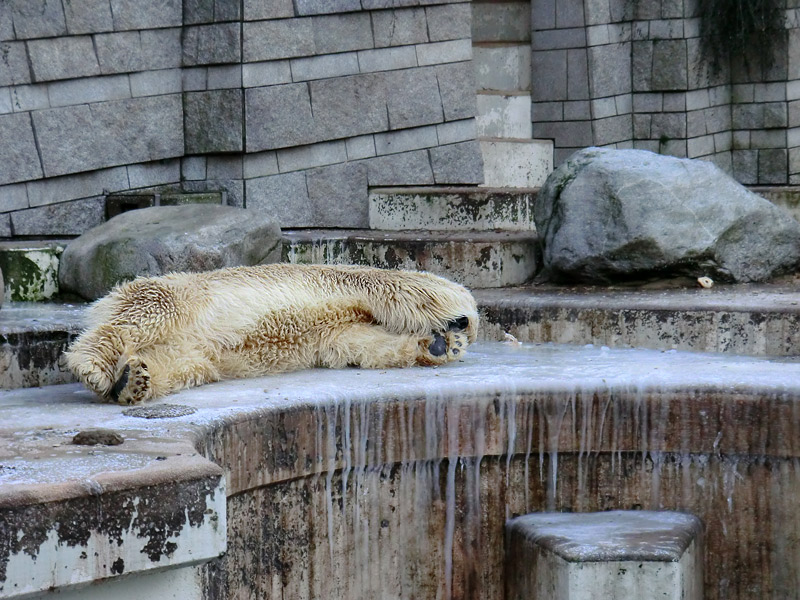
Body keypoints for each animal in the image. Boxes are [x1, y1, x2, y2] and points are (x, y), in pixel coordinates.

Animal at [65, 262, 478, 404]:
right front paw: (458, 319)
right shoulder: (345, 280)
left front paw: (441, 345)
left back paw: (131, 381)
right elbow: (401, 287)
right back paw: (93, 367)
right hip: (175, 296)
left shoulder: (335, 328)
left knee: (181, 363)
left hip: (192, 349)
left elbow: (356, 344)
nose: (460, 329)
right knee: (139, 320)